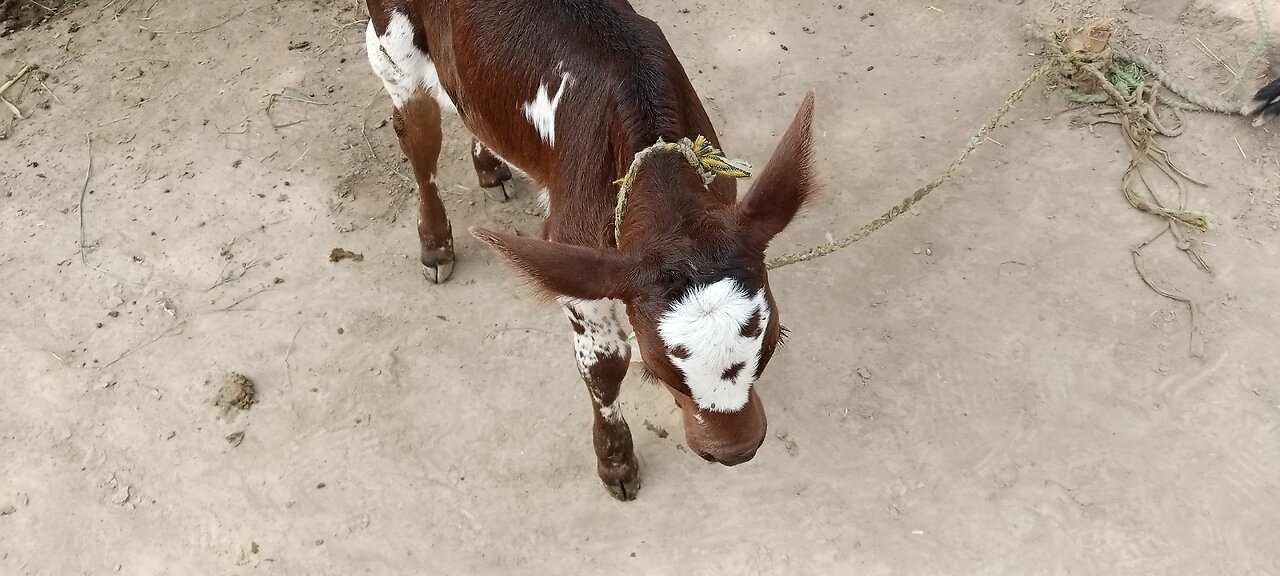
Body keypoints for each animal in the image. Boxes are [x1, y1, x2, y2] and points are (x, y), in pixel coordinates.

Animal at [366, 0, 814, 499]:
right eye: (656, 369)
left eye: (774, 342)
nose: (735, 451)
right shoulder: (574, 252)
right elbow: (605, 365)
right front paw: (615, 461)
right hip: (392, 49)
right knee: (418, 136)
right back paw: (435, 243)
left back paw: (490, 166)